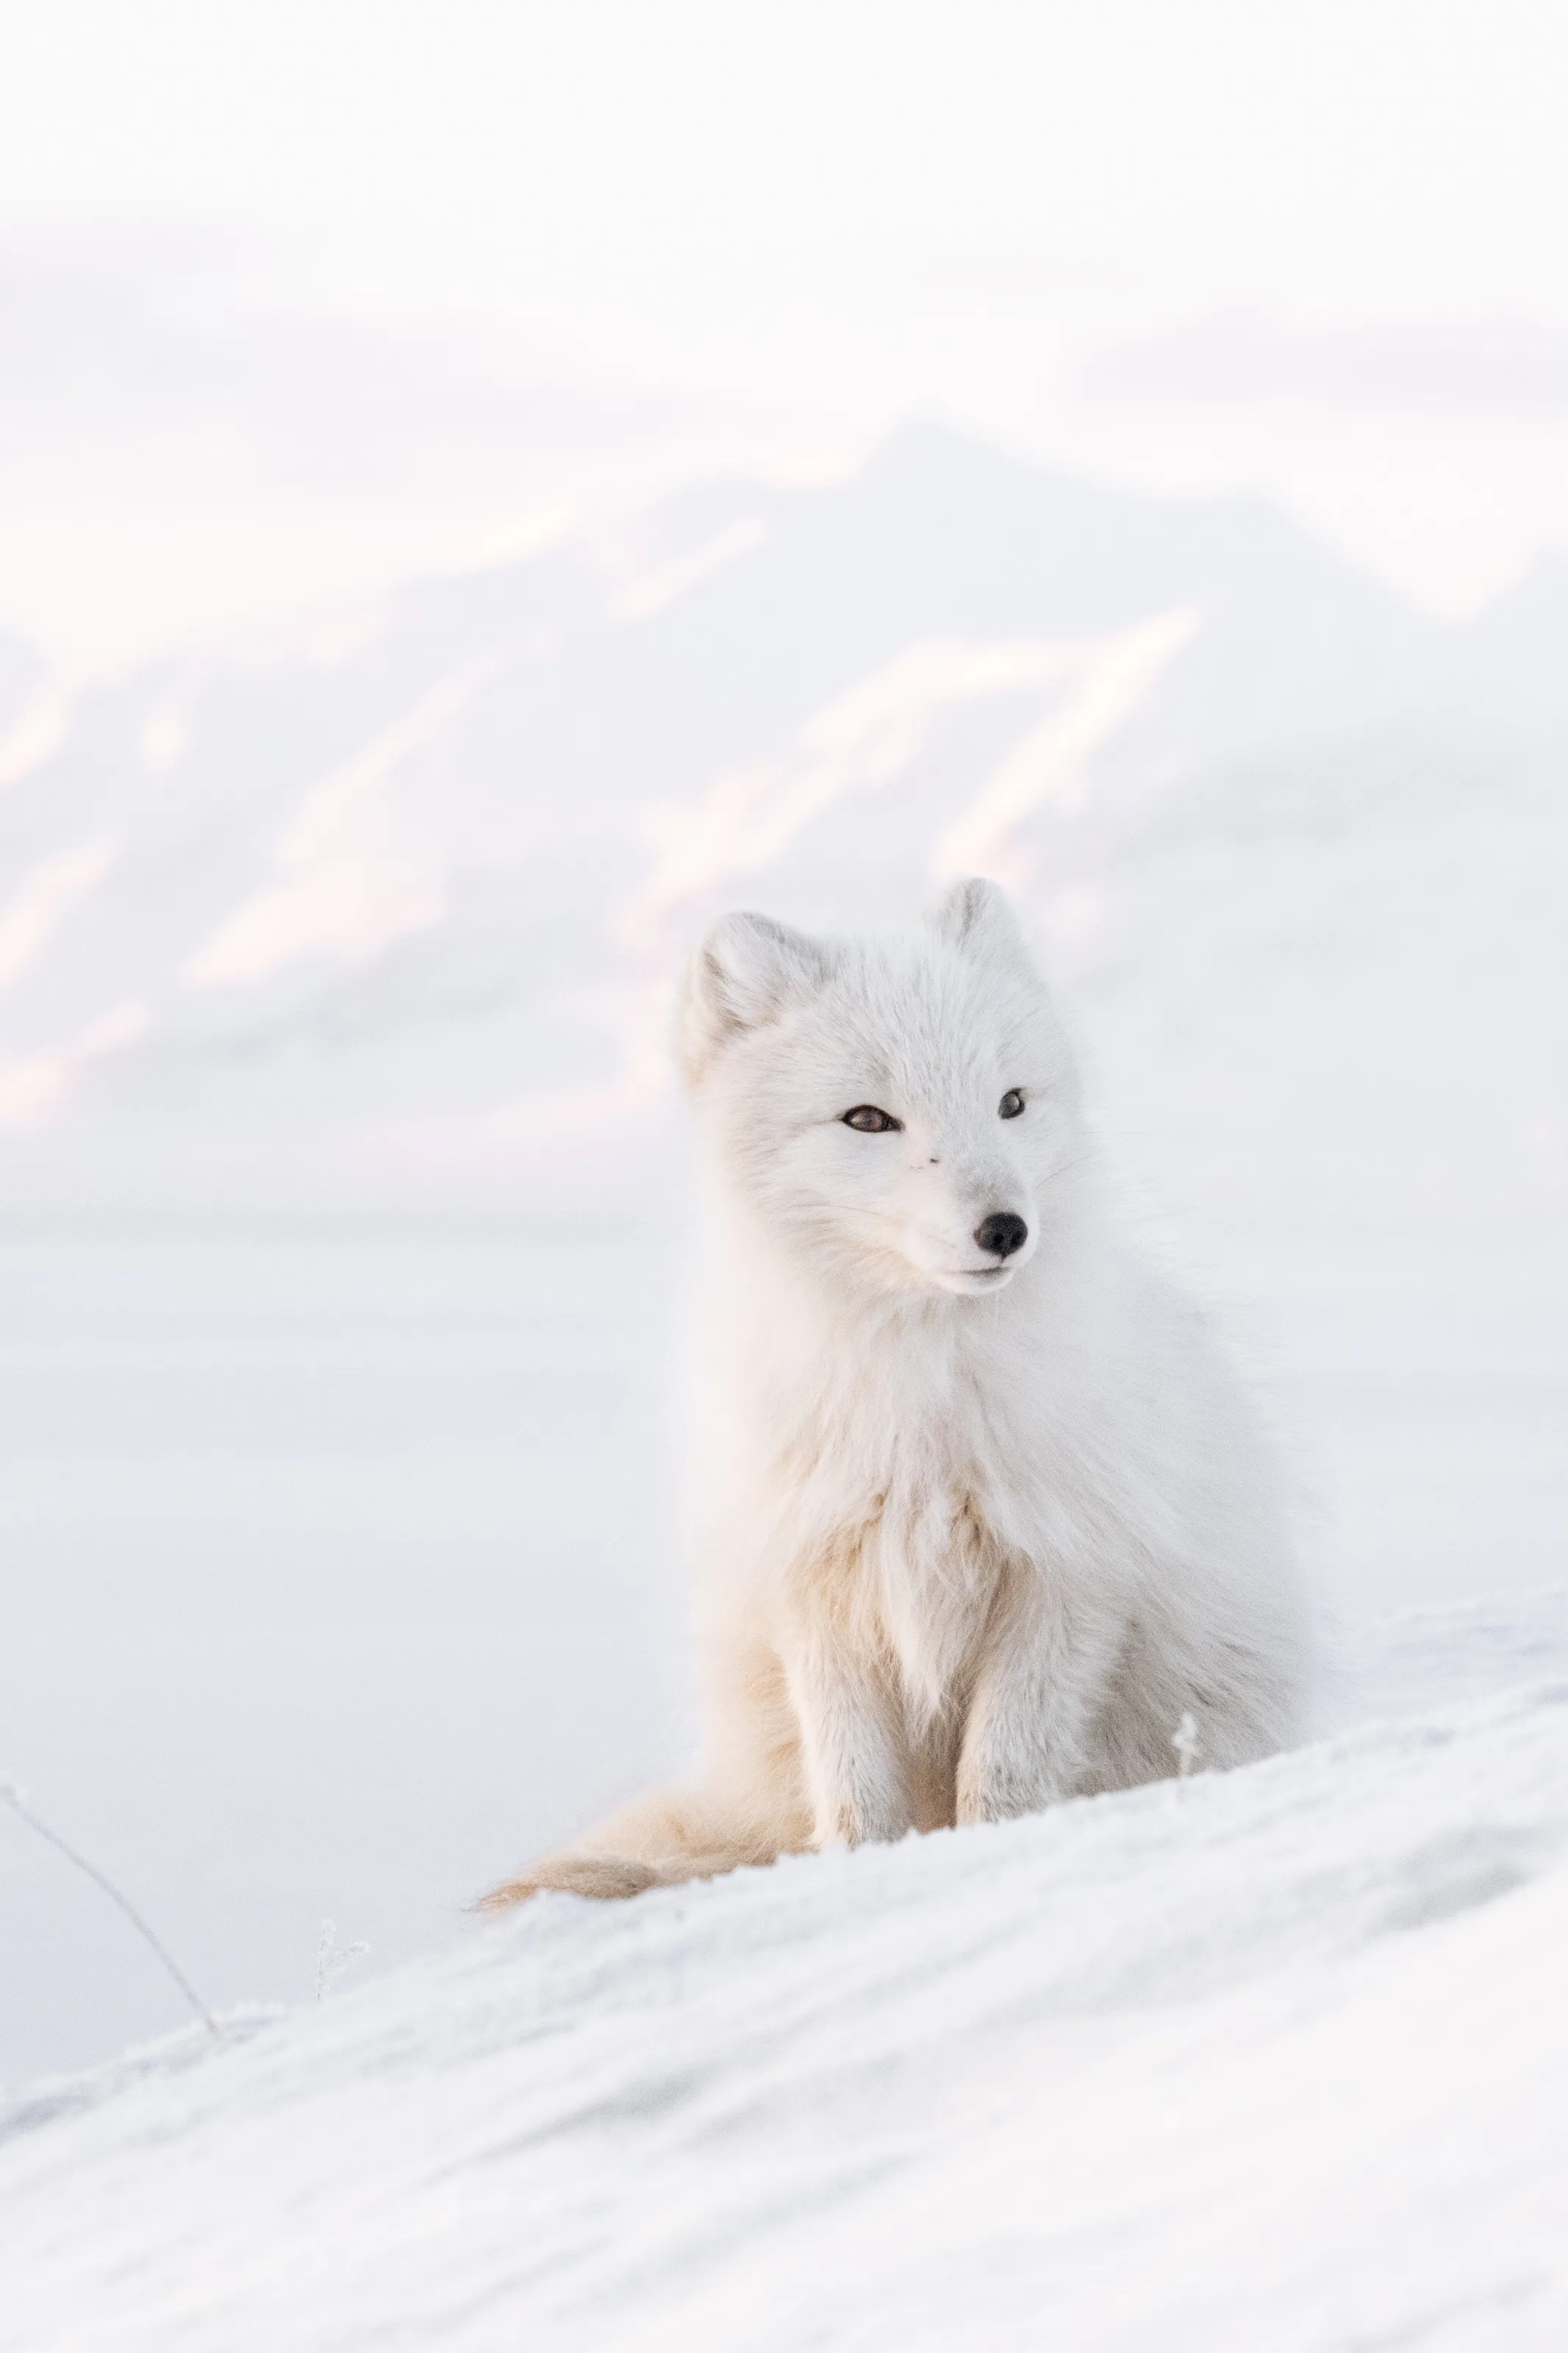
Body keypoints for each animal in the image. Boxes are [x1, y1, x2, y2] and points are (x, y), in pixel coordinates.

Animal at [482, 879, 1308, 1906]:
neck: (921, 1406)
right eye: (869, 1119)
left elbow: (1003, 1774)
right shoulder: (818, 1580)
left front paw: (992, 1859)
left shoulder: (1065, 1572)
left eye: (1010, 1102)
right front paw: (867, 1881)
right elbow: (857, 1790)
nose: (1006, 1229)